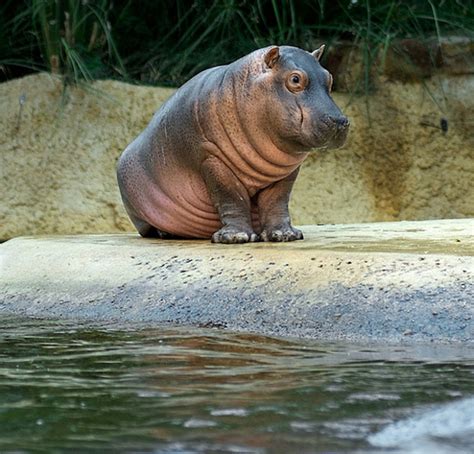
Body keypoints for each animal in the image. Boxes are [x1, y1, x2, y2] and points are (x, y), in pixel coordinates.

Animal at [117, 45, 348, 243]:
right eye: (295, 79)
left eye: (330, 78)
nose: (339, 121)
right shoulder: (213, 159)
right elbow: (231, 197)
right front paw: (236, 237)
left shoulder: (286, 171)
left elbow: (276, 201)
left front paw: (285, 235)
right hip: (137, 208)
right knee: (147, 228)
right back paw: (164, 233)